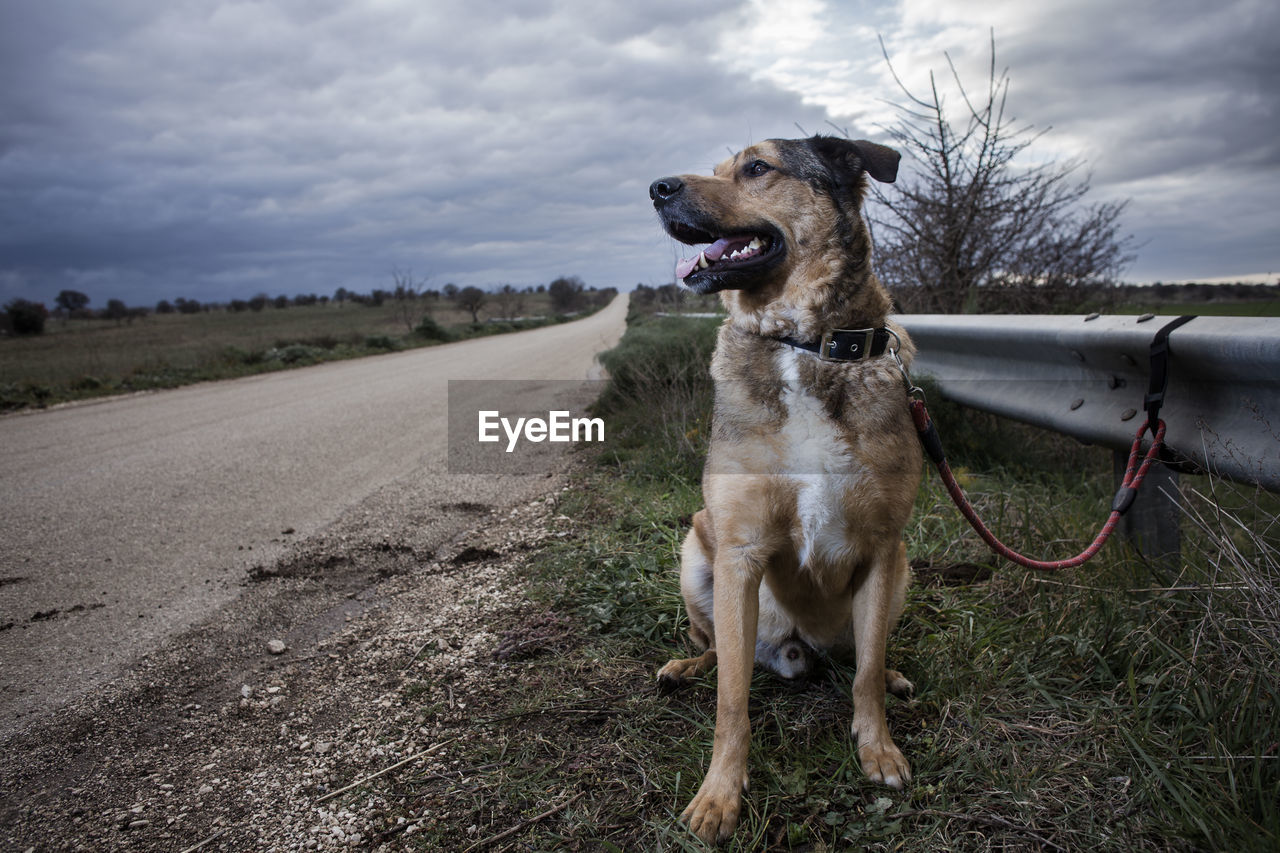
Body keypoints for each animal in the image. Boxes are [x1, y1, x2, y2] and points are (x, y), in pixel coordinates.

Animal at [650, 136, 921, 840]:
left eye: (756, 168)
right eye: (717, 169)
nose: (658, 188)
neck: (806, 346)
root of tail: (797, 649)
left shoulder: (883, 548)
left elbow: (866, 676)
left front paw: (878, 748)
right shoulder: (740, 552)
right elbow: (732, 701)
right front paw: (720, 794)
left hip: (903, 571)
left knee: (861, 656)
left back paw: (895, 674)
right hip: (697, 554)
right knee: (718, 652)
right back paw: (685, 666)